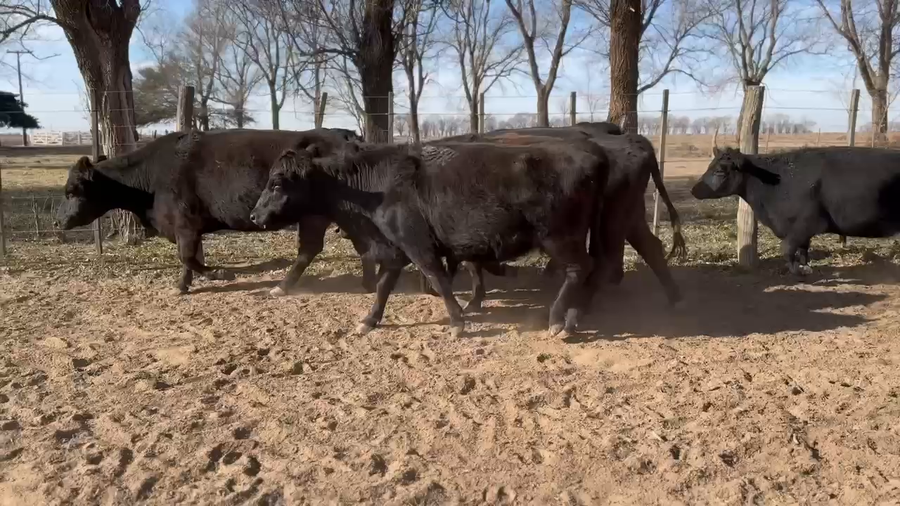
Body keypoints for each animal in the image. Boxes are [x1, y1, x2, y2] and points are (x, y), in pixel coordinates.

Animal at [54, 128, 368, 294]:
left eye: (71, 191)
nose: (57, 221)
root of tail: (342, 135)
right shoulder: (186, 228)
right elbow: (188, 257)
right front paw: (182, 285)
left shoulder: (185, 224)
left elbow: (188, 256)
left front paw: (219, 274)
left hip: (316, 215)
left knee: (310, 249)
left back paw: (283, 285)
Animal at [250, 140, 611, 338]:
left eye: (277, 183)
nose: (254, 216)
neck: (375, 188)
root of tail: (592, 154)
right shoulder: (394, 248)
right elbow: (384, 286)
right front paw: (369, 321)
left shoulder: (417, 245)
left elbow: (437, 278)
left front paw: (457, 322)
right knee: (591, 268)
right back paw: (573, 317)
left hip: (560, 237)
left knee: (580, 269)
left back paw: (557, 319)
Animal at [424, 125, 686, 310]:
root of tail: (633, 141)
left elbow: (473, 264)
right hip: (629, 217)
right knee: (649, 247)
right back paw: (674, 298)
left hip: (610, 222)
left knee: (606, 259)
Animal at [691, 146, 900, 275]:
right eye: (709, 166)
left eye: (719, 171)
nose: (693, 190)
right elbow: (803, 250)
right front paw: (805, 267)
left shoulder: (807, 223)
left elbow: (787, 249)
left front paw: (800, 271)